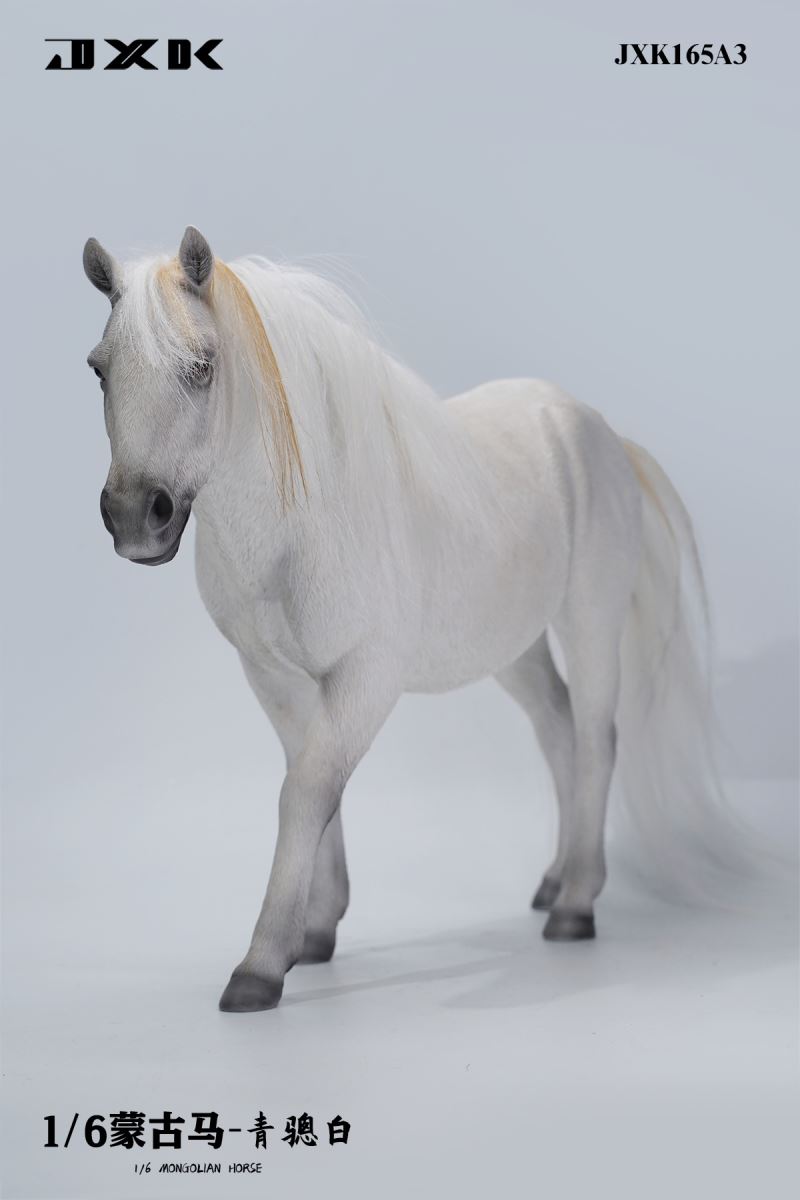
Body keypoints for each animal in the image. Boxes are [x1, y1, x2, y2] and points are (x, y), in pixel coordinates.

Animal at [83, 226, 732, 1012]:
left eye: (202, 367)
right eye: (99, 371)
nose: (133, 520)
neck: (298, 525)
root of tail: (595, 428)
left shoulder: (366, 677)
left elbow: (307, 791)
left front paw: (262, 965)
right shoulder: (275, 677)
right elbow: (310, 784)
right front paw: (315, 932)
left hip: (590, 622)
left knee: (595, 737)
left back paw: (577, 903)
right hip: (513, 646)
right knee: (557, 729)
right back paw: (553, 883)